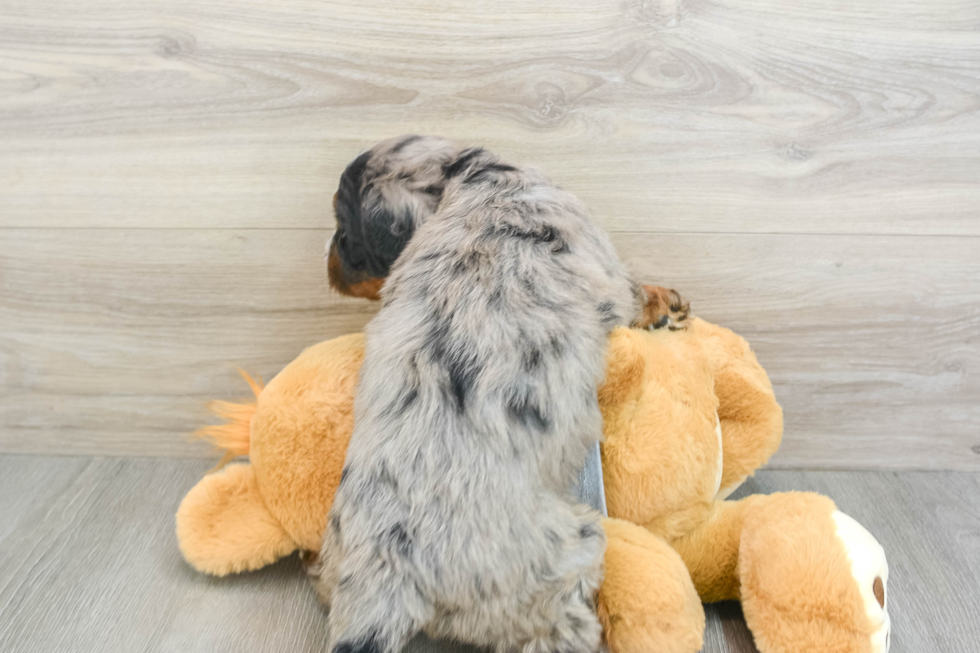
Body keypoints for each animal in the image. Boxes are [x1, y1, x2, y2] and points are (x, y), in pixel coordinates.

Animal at [314, 136, 688, 652]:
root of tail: (384, 577)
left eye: (344, 232)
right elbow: (635, 294)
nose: (327, 260)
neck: (477, 178)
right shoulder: (608, 271)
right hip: (567, 556)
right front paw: (662, 303)